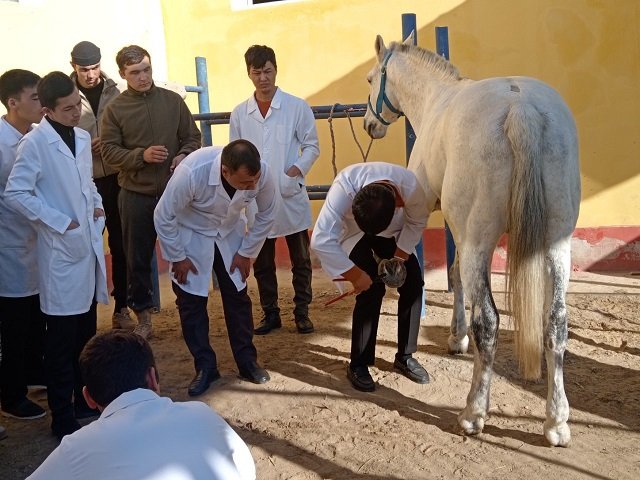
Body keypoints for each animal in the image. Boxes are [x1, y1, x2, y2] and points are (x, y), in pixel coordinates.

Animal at [363, 34, 580, 447]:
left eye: (370, 79)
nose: (369, 124)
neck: (435, 100)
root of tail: (521, 110)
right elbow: (455, 272)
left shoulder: (443, 219)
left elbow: (454, 273)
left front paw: (457, 337)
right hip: (557, 244)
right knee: (555, 323)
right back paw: (556, 422)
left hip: (481, 241)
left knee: (490, 323)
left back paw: (473, 413)